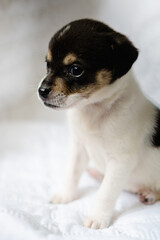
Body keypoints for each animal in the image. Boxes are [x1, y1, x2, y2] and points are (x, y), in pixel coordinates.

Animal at [38, 18, 160, 229]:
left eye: (76, 70)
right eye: (48, 64)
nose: (41, 91)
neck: (94, 110)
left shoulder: (120, 161)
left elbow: (106, 193)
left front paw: (97, 218)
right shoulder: (79, 146)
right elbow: (72, 172)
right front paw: (65, 195)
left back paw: (149, 194)